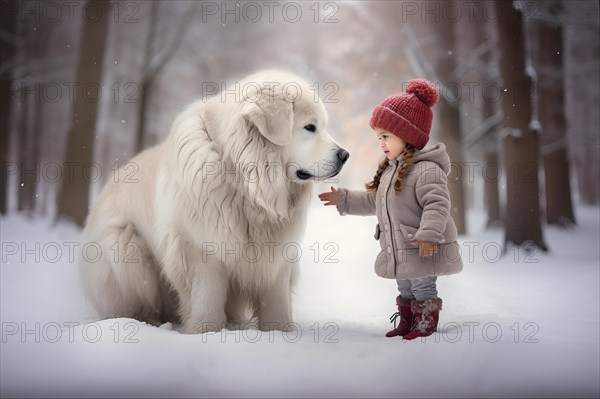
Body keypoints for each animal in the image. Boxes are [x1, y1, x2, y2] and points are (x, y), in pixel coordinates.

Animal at [82, 70, 350, 332]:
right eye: (310, 127)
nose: (345, 155)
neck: (243, 181)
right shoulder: (200, 246)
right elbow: (207, 295)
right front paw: (206, 330)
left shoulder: (277, 253)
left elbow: (276, 299)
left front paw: (280, 331)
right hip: (128, 256)